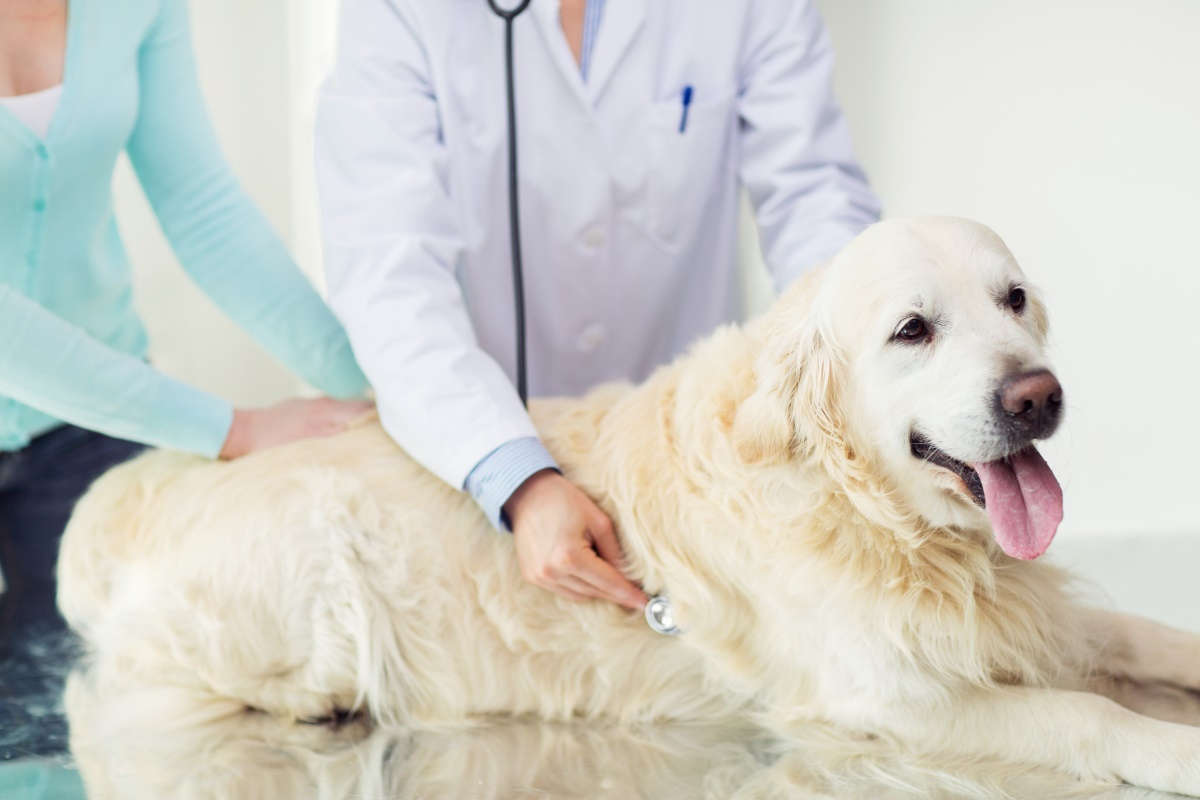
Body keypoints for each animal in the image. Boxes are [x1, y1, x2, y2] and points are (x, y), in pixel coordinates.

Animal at [60, 215, 1200, 796]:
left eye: (1016, 299)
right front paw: (1174, 749)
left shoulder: (1030, 610)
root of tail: (143, 493)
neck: (865, 510)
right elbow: (1086, 711)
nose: (1037, 396)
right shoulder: (885, 695)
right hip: (313, 572)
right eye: (912, 330)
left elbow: (1147, 635)